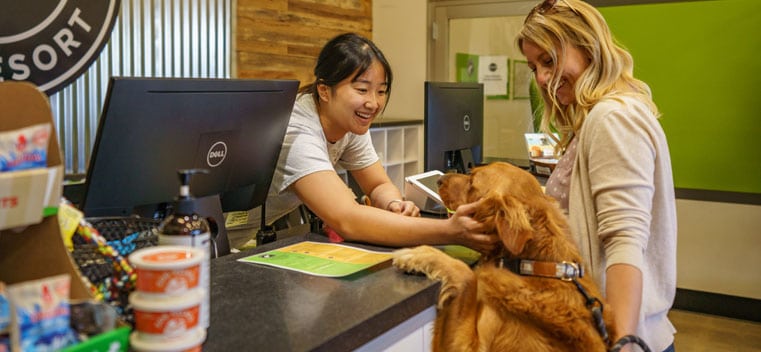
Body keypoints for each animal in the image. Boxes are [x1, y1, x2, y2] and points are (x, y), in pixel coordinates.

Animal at [392, 162, 616, 352]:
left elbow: (467, 276)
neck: (533, 265)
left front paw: (420, 253)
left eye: (472, 181)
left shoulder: (469, 346)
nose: (439, 178)